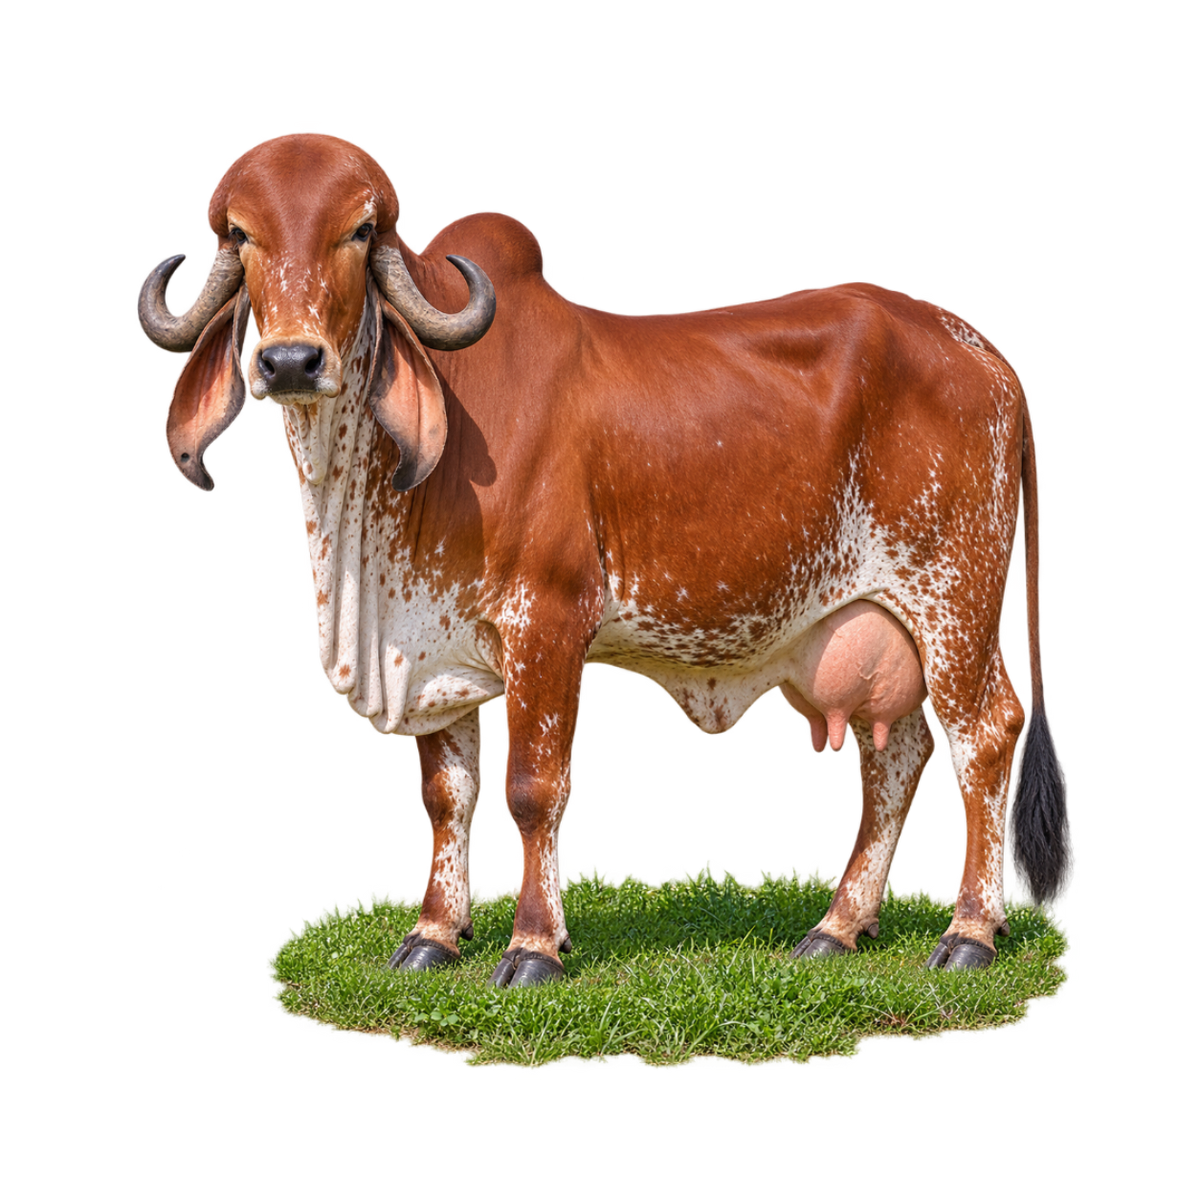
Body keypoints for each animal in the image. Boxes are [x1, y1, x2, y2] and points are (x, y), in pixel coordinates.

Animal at [136, 130, 1073, 987]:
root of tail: (981, 351)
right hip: (880, 619)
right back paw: (838, 929)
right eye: (241, 233)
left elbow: (533, 788)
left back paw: (970, 934)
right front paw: (435, 936)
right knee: (895, 759)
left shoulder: (548, 621)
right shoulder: (427, 641)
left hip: (955, 599)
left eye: (360, 230)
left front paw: (533, 947)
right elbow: (447, 797)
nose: (290, 360)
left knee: (985, 740)